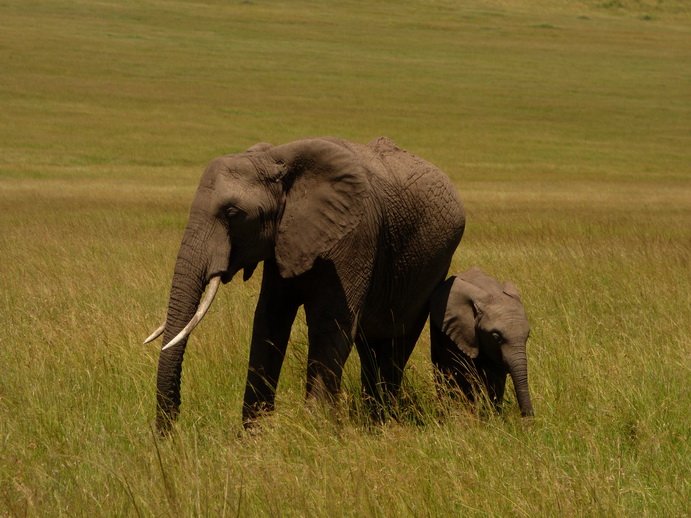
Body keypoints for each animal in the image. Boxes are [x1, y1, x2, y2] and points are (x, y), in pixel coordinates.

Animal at [149, 137, 468, 434]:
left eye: (232, 213)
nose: (169, 435)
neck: (276, 159)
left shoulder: (355, 234)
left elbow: (331, 323)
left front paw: (317, 429)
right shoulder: (284, 239)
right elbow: (270, 318)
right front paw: (254, 435)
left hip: (432, 269)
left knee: (397, 342)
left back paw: (382, 423)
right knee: (370, 347)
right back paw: (373, 421)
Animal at [430, 268, 536, 418]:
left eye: (527, 336)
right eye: (496, 337)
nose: (528, 420)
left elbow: (496, 377)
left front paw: (492, 417)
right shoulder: (460, 330)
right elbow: (461, 372)